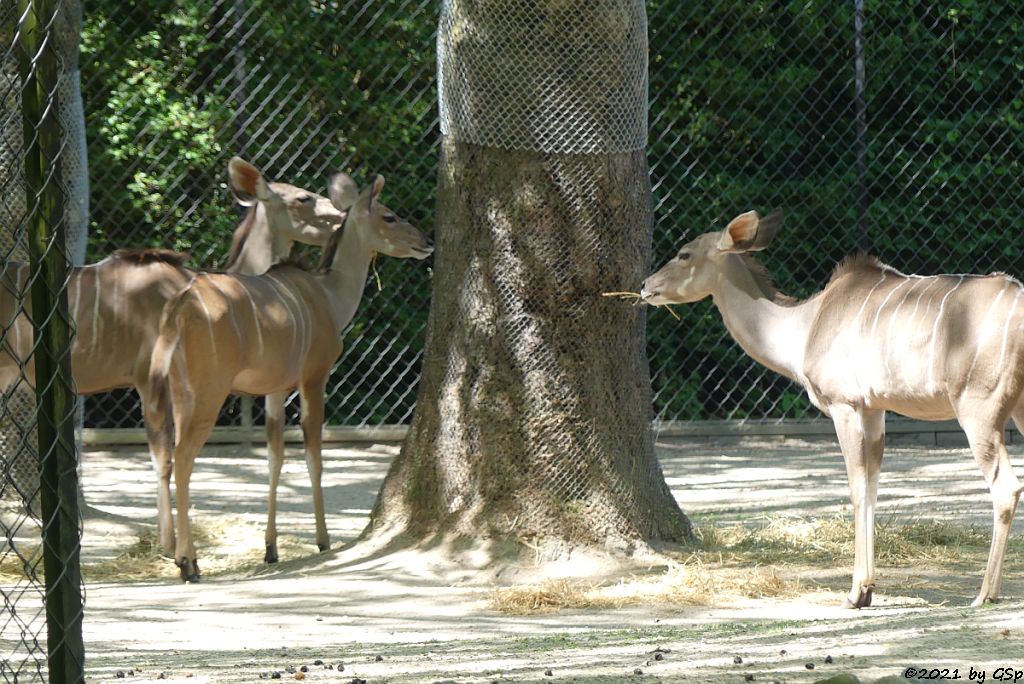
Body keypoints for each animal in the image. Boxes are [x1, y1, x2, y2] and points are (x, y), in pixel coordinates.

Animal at [147, 169, 432, 577]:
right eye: (389, 216)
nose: (426, 242)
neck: (328, 294)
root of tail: (181, 306)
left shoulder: (275, 389)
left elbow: (275, 458)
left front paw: (271, 548)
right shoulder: (314, 378)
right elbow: (314, 456)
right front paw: (323, 539)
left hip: (179, 392)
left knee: (168, 452)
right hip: (208, 393)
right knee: (184, 454)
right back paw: (189, 562)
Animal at [638, 210, 1024, 606]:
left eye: (684, 254)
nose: (645, 286)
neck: (805, 325)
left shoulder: (844, 405)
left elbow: (856, 487)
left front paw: (856, 592)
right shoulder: (874, 410)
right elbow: (872, 486)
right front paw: (868, 590)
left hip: (978, 411)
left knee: (1006, 487)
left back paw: (985, 594)